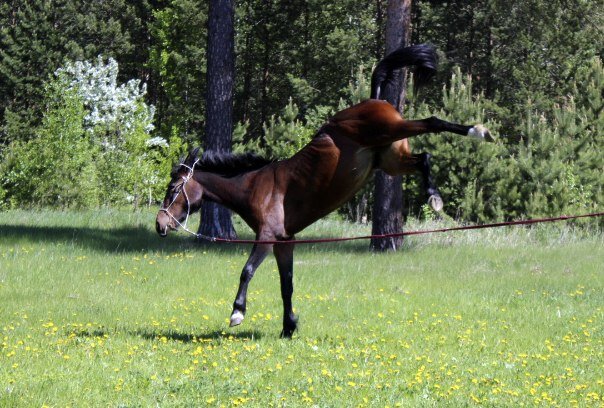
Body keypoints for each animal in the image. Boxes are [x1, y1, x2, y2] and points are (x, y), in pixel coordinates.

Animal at [155, 44, 490, 338]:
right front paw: (288, 327)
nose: (160, 224)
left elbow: (247, 270)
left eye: (172, 189)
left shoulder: (267, 237)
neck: (256, 185)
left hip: (392, 131)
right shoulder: (284, 242)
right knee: (424, 159)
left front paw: (238, 312)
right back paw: (434, 196)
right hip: (391, 160)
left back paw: (477, 131)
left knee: (432, 122)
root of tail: (373, 99)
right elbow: (286, 284)